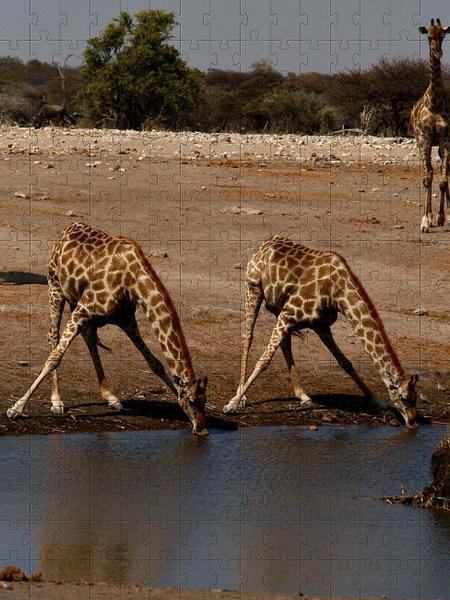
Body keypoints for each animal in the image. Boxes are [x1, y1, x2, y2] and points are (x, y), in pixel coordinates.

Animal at [6, 223, 209, 434]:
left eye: (204, 401)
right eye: (192, 401)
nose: (202, 429)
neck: (133, 281)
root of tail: (67, 229)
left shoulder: (126, 320)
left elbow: (154, 362)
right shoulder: (83, 310)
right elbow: (54, 358)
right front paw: (16, 409)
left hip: (78, 303)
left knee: (88, 337)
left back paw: (110, 397)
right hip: (55, 288)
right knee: (53, 335)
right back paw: (57, 401)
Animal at [223, 236, 420, 432]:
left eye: (416, 398)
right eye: (404, 398)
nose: (413, 423)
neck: (338, 292)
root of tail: (266, 243)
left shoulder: (320, 325)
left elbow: (345, 362)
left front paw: (377, 401)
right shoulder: (289, 314)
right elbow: (263, 361)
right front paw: (232, 405)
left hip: (278, 307)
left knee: (285, 344)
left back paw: (303, 396)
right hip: (253, 289)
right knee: (247, 338)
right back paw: (241, 396)